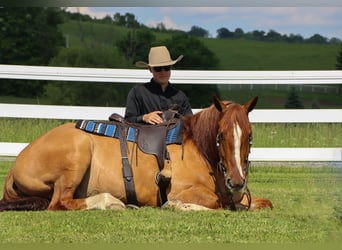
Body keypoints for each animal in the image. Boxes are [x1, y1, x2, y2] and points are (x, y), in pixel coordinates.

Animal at [0, 95, 272, 211]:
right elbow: (217, 202)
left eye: (249, 135)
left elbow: (261, 203)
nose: (236, 181)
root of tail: (16, 164)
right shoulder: (183, 191)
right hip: (79, 152)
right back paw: (109, 202)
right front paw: (177, 206)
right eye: (221, 135)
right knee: (60, 202)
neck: (197, 148)